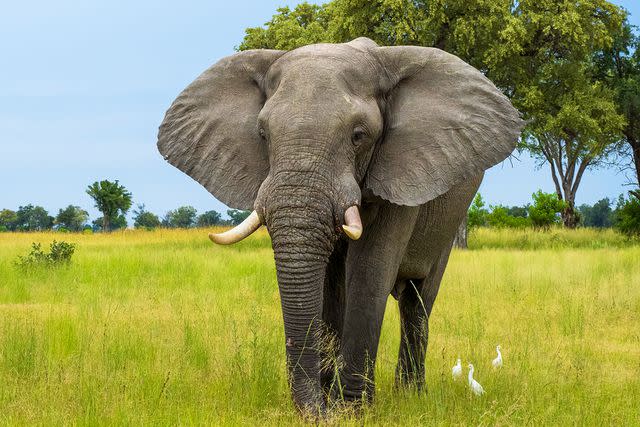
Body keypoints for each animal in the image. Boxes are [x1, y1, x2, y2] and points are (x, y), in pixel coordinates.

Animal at [158, 37, 524, 418]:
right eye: (262, 134)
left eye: (358, 136)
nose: (316, 412)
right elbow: (329, 286)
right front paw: (332, 405)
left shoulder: (399, 172)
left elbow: (368, 272)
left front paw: (353, 410)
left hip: (450, 219)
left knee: (418, 299)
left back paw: (410, 394)